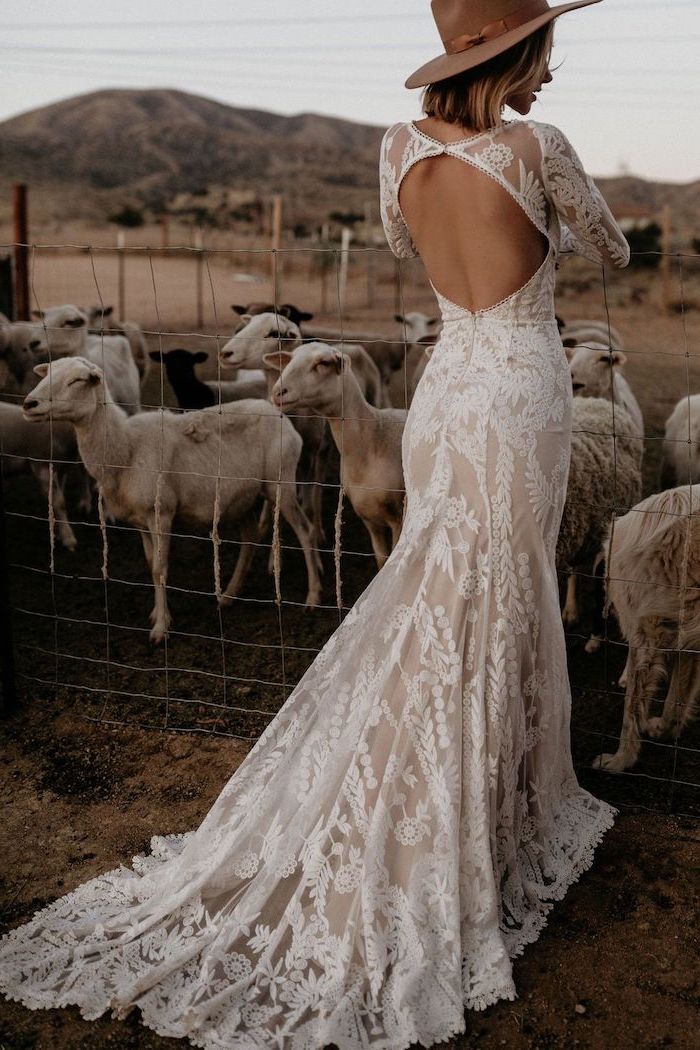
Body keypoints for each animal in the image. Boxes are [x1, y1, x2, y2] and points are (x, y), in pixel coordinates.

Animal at [0, 398, 79, 550]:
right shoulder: (42, 467)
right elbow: (59, 502)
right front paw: (69, 539)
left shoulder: (61, 470)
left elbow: (56, 500)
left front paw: (58, 533)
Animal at [24, 356, 325, 642]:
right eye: (47, 373)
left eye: (77, 380)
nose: (29, 404)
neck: (125, 449)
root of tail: (277, 413)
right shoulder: (140, 520)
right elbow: (150, 565)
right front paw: (158, 613)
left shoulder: (161, 513)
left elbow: (160, 568)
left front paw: (161, 628)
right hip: (242, 498)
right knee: (250, 537)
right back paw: (228, 595)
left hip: (281, 483)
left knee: (305, 530)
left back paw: (312, 596)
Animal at [264, 342, 407, 571]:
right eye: (290, 359)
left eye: (323, 363)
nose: (278, 392)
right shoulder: (370, 519)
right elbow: (381, 560)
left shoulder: (398, 518)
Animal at [596, 482, 700, 772]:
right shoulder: (688, 643)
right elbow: (675, 704)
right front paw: (664, 730)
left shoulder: (645, 637)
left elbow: (630, 712)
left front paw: (619, 760)